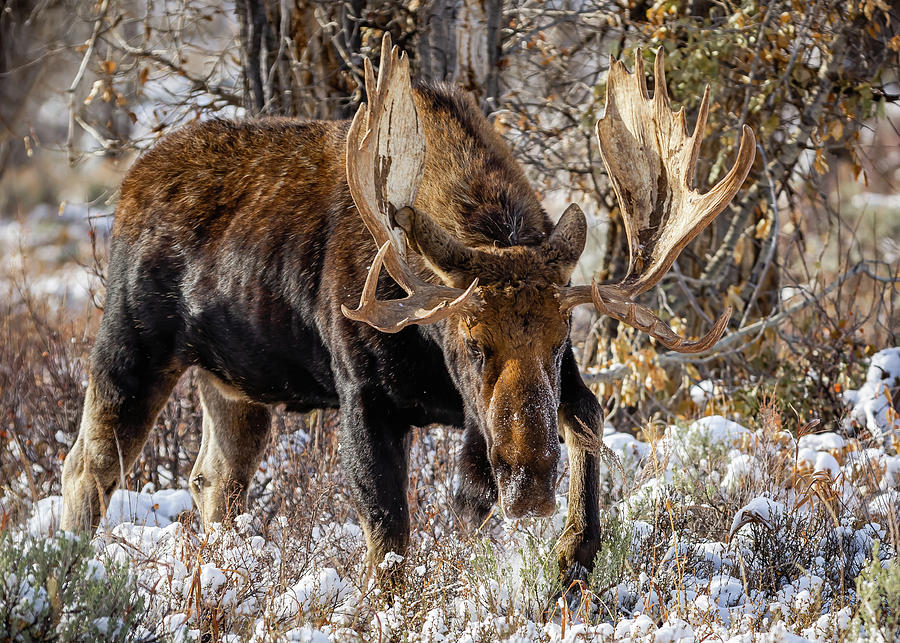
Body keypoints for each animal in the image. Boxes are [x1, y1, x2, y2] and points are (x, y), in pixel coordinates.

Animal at [59, 35, 756, 580]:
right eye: (471, 340)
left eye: (562, 336)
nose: (530, 483)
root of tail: (130, 183)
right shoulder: (363, 393)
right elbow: (387, 539)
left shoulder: (537, 391)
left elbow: (584, 423)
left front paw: (570, 559)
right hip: (131, 343)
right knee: (86, 467)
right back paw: (65, 571)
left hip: (234, 384)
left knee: (213, 480)